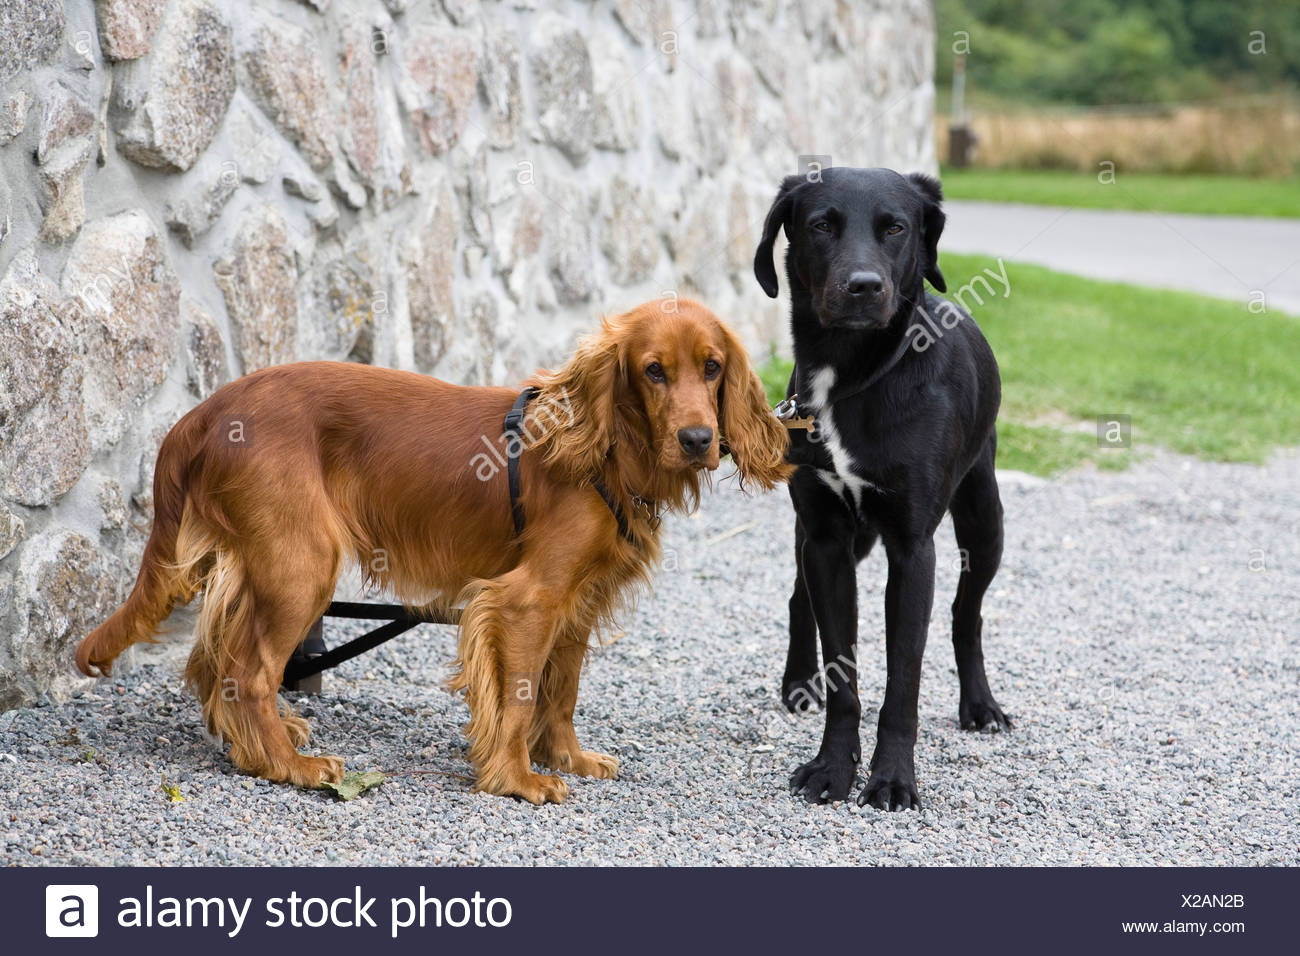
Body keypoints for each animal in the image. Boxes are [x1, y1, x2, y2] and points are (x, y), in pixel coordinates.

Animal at [754, 167, 1013, 811]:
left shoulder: (912, 547)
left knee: (967, 613)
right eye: (821, 225)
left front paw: (892, 779)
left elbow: (904, 682)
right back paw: (800, 681)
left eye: (895, 228)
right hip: (825, 534)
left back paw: (980, 705)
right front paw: (830, 769)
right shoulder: (824, 537)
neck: (852, 379)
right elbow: (841, 666)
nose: (864, 287)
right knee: (798, 599)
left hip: (984, 520)